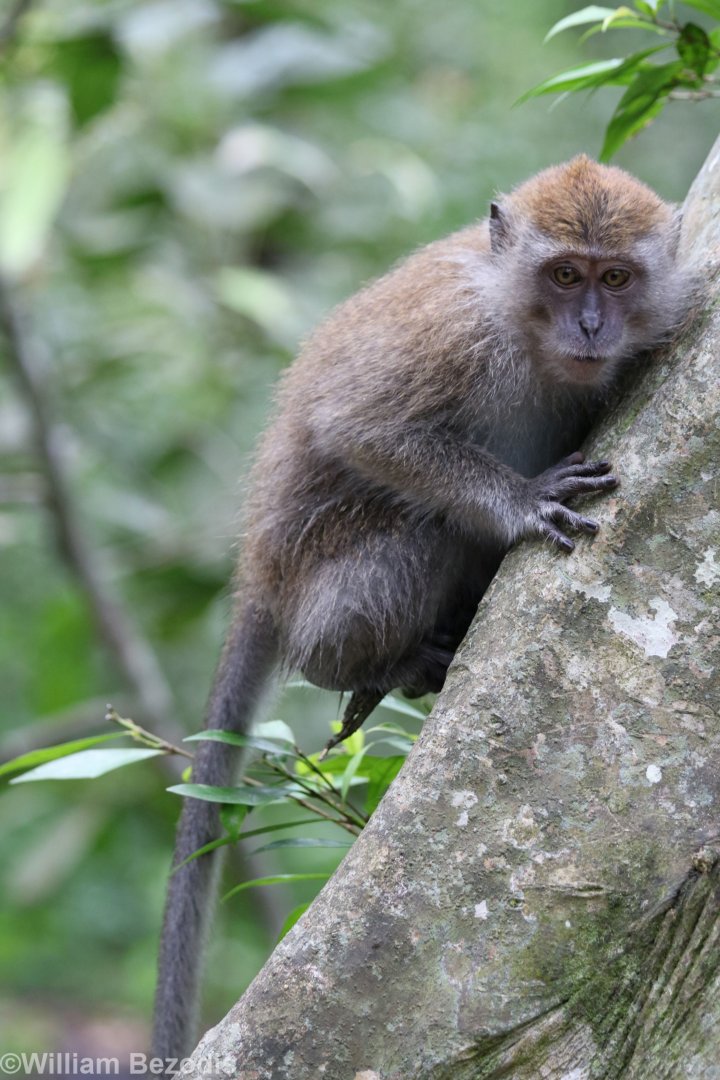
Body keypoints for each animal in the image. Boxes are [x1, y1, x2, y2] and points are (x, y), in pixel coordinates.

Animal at [152, 156, 692, 1059]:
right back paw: (380, 664)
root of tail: (258, 572)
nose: (589, 325)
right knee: (417, 532)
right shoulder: (455, 337)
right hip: (323, 579)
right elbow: (362, 427)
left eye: (615, 278)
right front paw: (519, 502)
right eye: (565, 275)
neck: (520, 324)